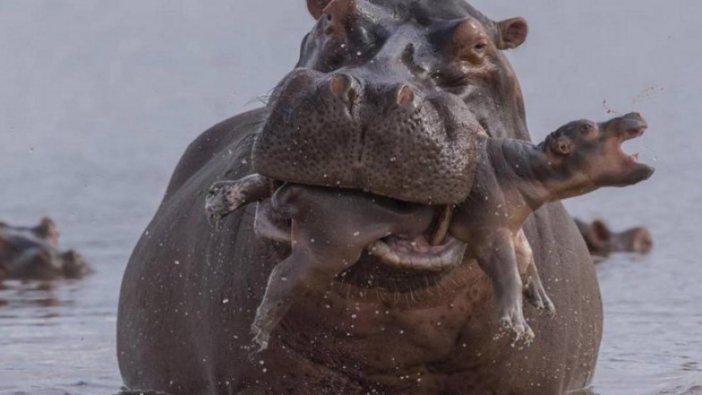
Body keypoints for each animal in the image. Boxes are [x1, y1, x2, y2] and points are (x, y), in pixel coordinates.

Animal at [208, 113, 656, 348]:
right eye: (589, 128)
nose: (633, 116)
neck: (525, 167)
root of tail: (298, 189)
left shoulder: (511, 228)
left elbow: (526, 259)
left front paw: (543, 302)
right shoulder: (491, 233)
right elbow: (507, 274)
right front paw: (518, 328)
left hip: (294, 188)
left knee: (259, 183)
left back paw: (219, 200)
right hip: (328, 246)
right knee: (283, 275)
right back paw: (259, 334)